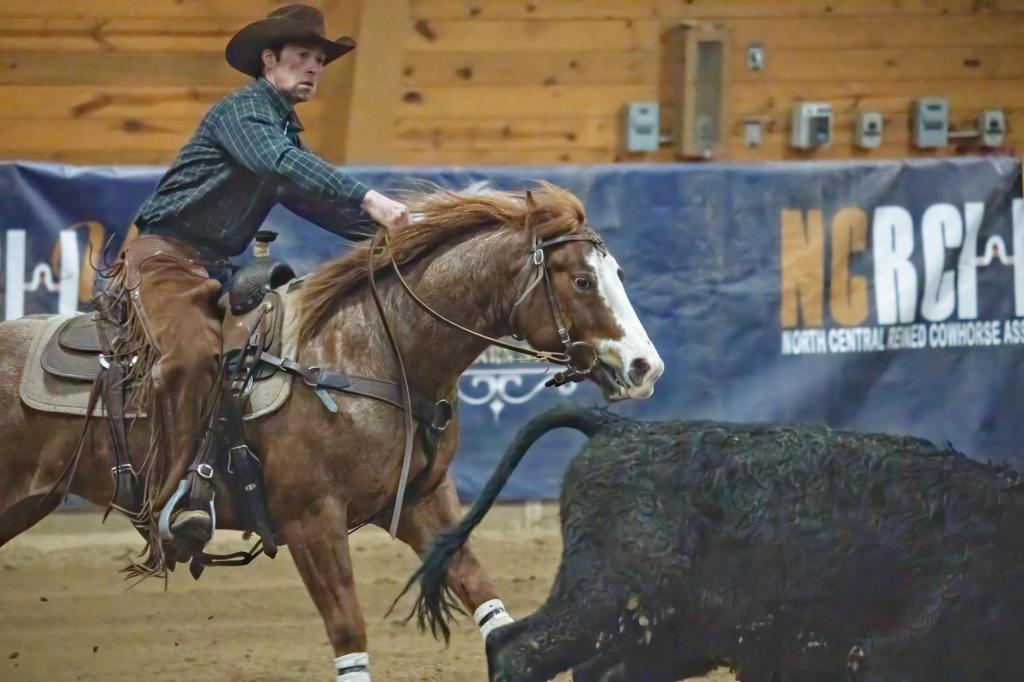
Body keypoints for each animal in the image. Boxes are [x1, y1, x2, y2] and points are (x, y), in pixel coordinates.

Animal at [0, 182, 664, 679]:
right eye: (583, 280)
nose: (645, 367)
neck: (370, 352)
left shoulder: (425, 502)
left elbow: (485, 599)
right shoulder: (311, 520)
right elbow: (349, 632)